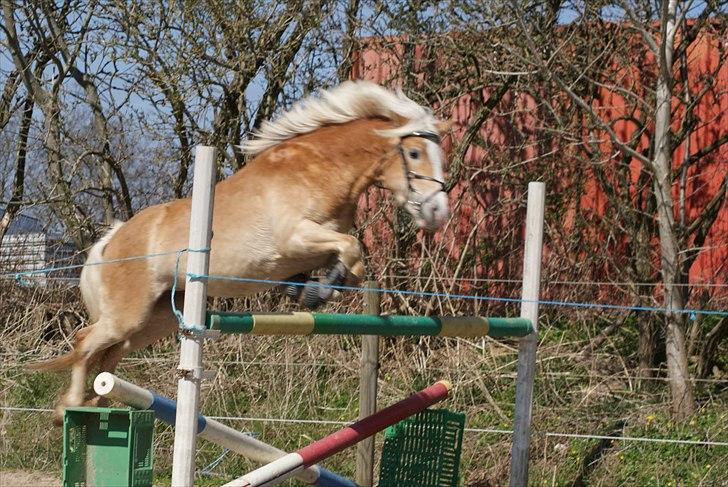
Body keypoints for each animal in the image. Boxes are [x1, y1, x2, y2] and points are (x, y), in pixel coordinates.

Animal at [31, 80, 452, 424]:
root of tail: (114, 239)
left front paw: (312, 290)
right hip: (128, 315)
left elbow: (348, 263)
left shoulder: (315, 245)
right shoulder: (294, 238)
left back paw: (95, 403)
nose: (438, 213)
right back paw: (67, 407)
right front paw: (317, 291)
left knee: (109, 353)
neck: (320, 170)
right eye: (415, 154)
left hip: (155, 319)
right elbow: (352, 249)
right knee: (86, 340)